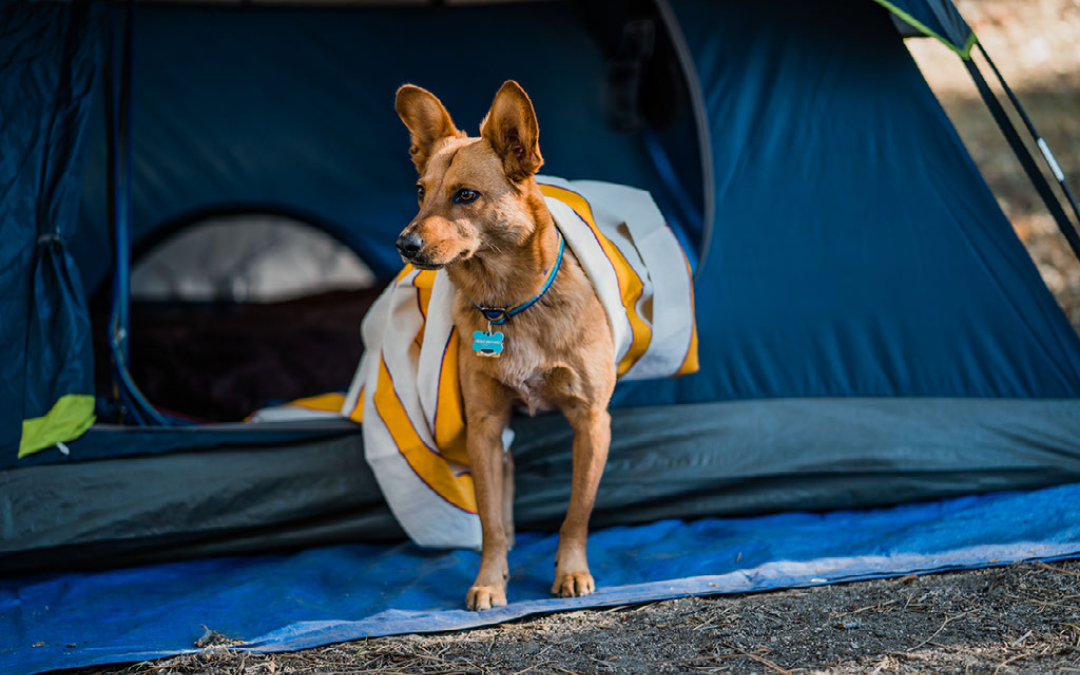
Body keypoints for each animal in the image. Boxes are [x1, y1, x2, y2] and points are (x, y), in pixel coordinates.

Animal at [395, 80, 617, 609]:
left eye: (466, 195)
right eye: (420, 192)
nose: (404, 244)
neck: (509, 305)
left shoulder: (592, 421)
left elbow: (577, 512)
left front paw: (571, 570)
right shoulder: (484, 425)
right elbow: (490, 520)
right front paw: (491, 580)